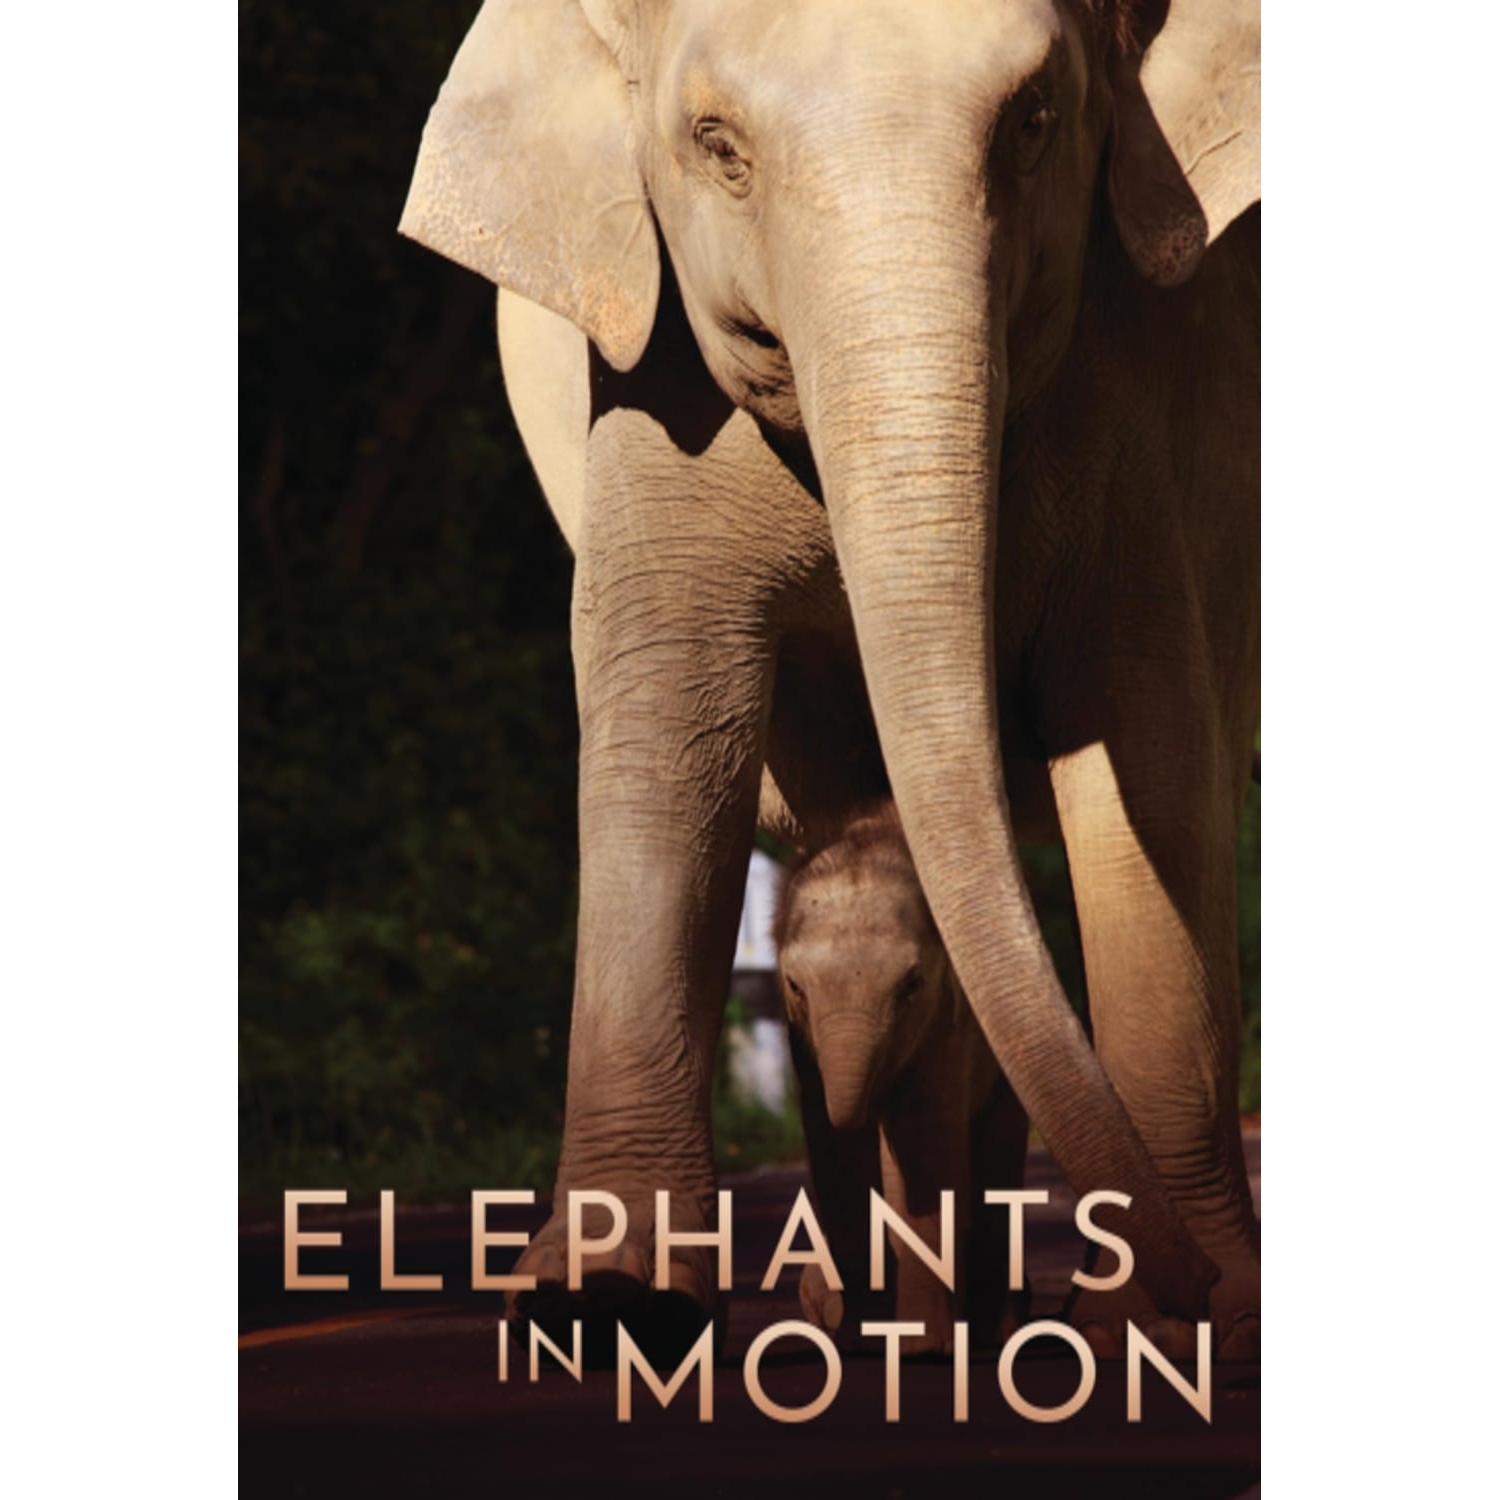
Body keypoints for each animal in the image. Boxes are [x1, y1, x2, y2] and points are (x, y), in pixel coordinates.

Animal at [774, 801, 1029, 1353]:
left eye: (912, 985)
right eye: (795, 986)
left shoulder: (948, 1027)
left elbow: (923, 1144)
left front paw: (922, 1350)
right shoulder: (803, 1043)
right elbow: (833, 1147)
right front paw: (856, 1340)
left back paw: (996, 1331)